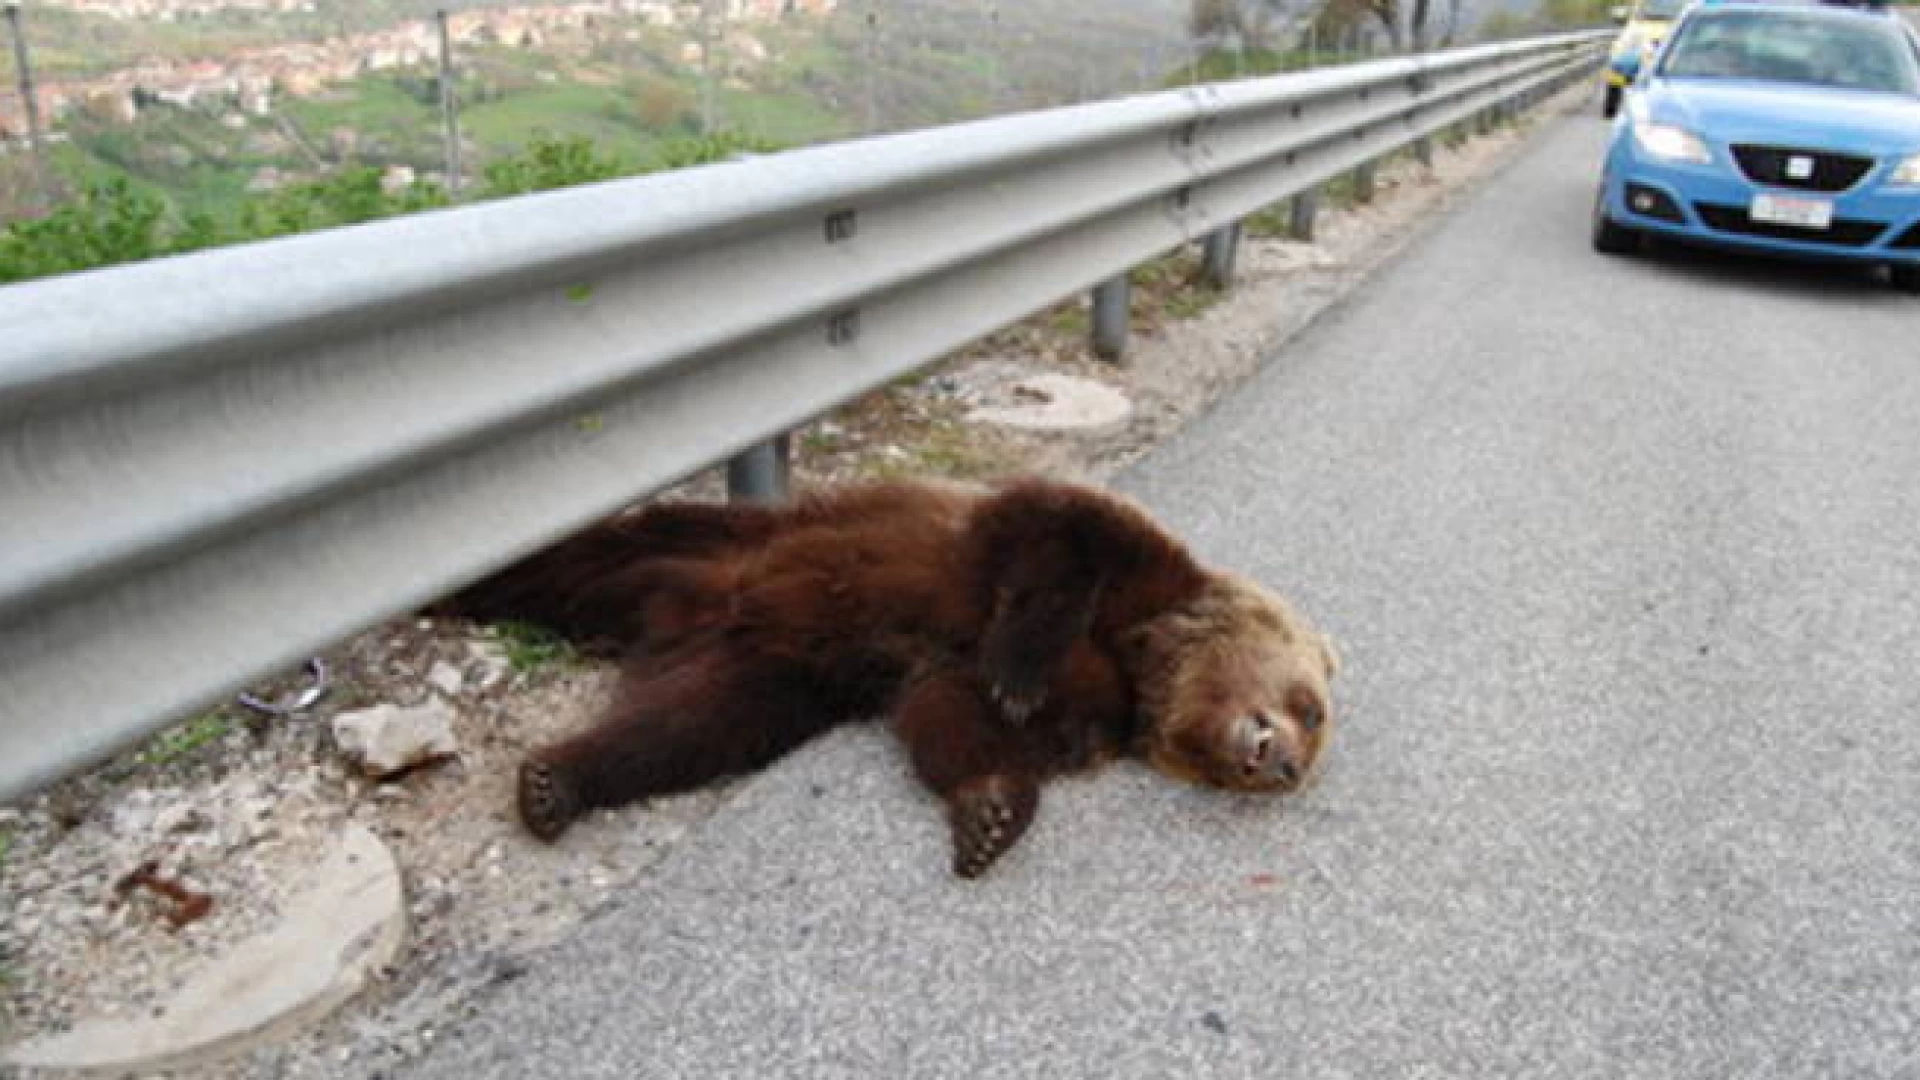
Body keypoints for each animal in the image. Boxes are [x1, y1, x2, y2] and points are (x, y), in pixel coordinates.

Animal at [451, 478, 1344, 876]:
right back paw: (477, 587)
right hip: (727, 541)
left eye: (1313, 732)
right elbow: (1056, 535)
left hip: (770, 677)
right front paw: (1018, 666)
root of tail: (687, 614)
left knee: (687, 730)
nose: (1283, 764)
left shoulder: (1077, 711)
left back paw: (554, 783)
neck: (1143, 664)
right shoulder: (1120, 567)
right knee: (588, 561)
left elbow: (953, 722)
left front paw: (990, 814)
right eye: (1311, 706)